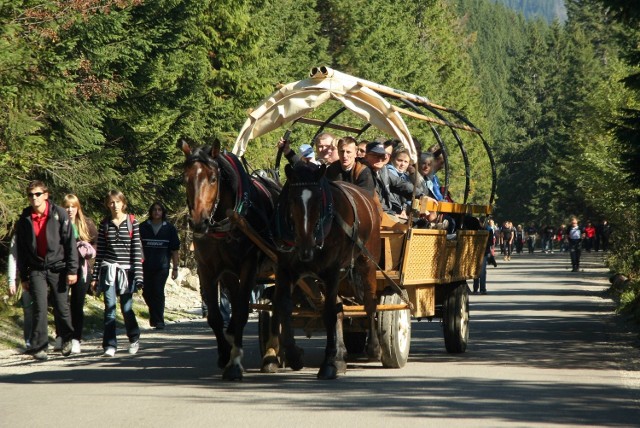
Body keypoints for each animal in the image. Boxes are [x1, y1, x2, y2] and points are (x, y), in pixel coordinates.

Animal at [180, 139, 280, 380]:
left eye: (213, 178)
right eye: (185, 178)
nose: (198, 223)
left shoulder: (248, 266)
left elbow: (242, 310)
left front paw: (234, 362)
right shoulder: (206, 269)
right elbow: (215, 316)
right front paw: (225, 354)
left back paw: (271, 355)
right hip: (228, 273)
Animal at [268, 162, 382, 380]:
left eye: (317, 201)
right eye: (292, 200)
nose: (305, 248)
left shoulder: (332, 271)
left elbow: (329, 312)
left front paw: (329, 364)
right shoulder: (285, 269)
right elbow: (284, 306)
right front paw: (293, 355)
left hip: (367, 260)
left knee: (370, 301)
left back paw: (373, 347)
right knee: (341, 306)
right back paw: (341, 355)